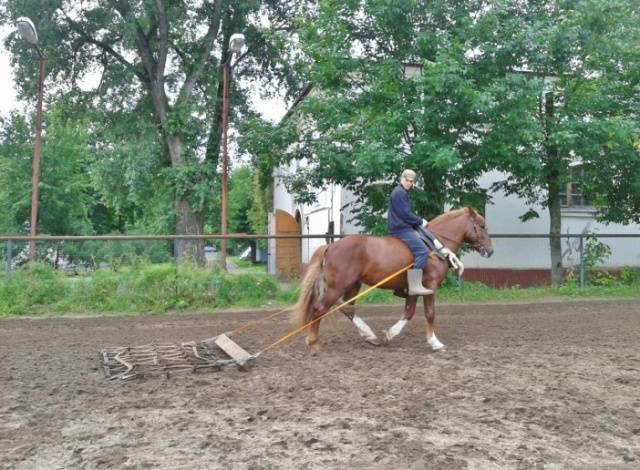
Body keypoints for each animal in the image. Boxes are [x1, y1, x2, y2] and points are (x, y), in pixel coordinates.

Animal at [290, 207, 496, 352]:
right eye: (482, 225)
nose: (490, 250)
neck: (434, 245)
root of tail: (330, 247)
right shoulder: (429, 285)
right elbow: (430, 313)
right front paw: (434, 342)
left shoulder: (414, 289)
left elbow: (409, 312)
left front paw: (390, 335)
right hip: (337, 286)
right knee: (320, 309)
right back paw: (314, 343)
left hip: (353, 285)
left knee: (347, 309)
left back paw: (369, 336)